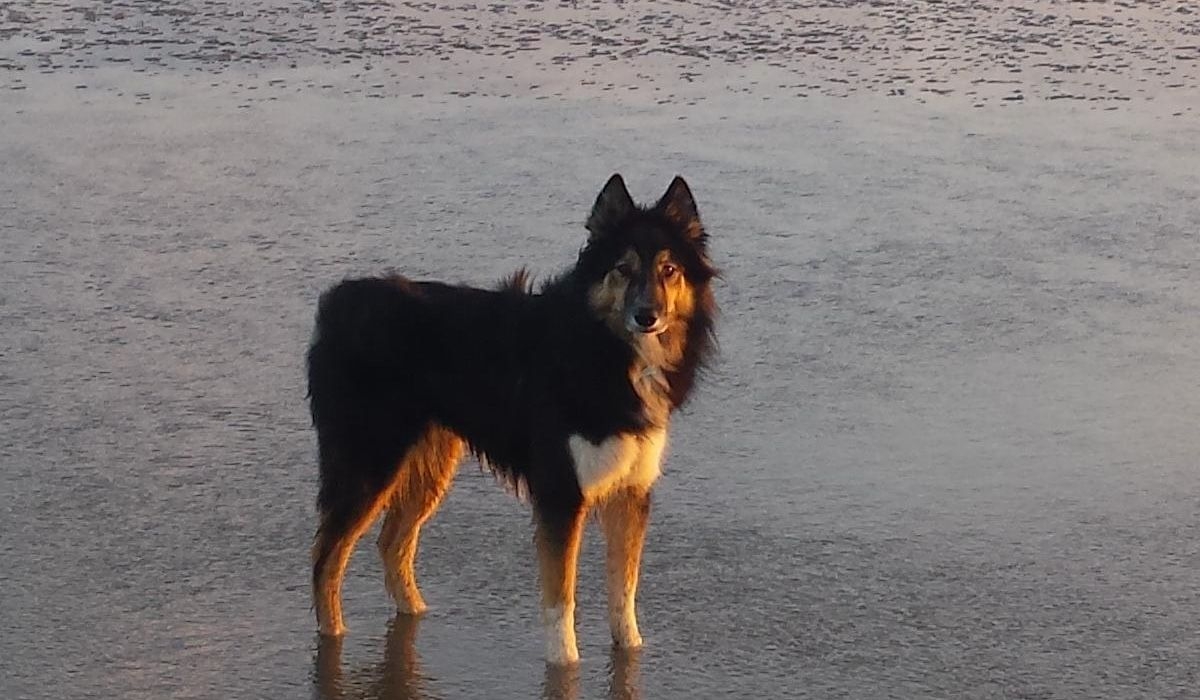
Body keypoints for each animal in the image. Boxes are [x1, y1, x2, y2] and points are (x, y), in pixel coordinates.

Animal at [309, 172, 715, 667]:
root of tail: (337, 301)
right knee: (327, 557)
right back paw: (333, 637)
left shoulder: (631, 491)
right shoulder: (562, 492)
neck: (605, 348)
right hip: (370, 461)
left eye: (669, 270)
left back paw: (417, 614)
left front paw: (631, 651)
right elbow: (561, 596)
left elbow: (624, 592)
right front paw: (564, 663)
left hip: (430, 460)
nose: (647, 316)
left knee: (392, 543)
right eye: (622, 268)